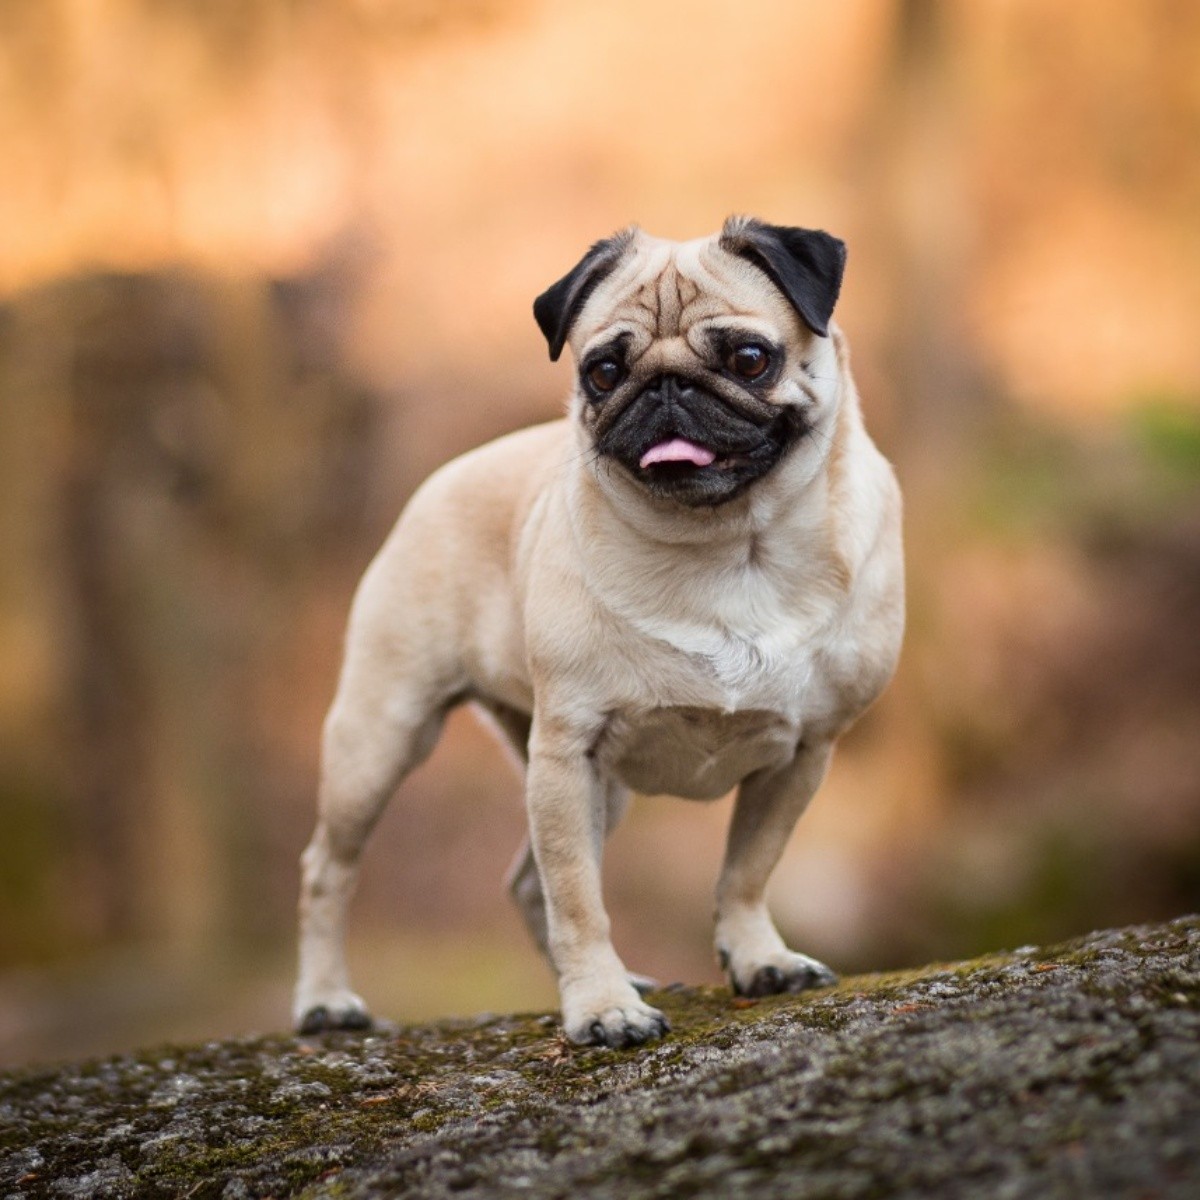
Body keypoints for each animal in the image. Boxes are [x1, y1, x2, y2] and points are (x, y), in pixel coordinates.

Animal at [295, 220, 902, 1046]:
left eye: (750, 358)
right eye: (605, 371)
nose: (667, 386)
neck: (728, 547)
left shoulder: (804, 752)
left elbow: (746, 874)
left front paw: (758, 960)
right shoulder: (568, 751)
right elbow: (579, 899)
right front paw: (603, 1009)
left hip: (597, 789)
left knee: (526, 883)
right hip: (382, 736)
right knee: (331, 868)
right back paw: (325, 1002)